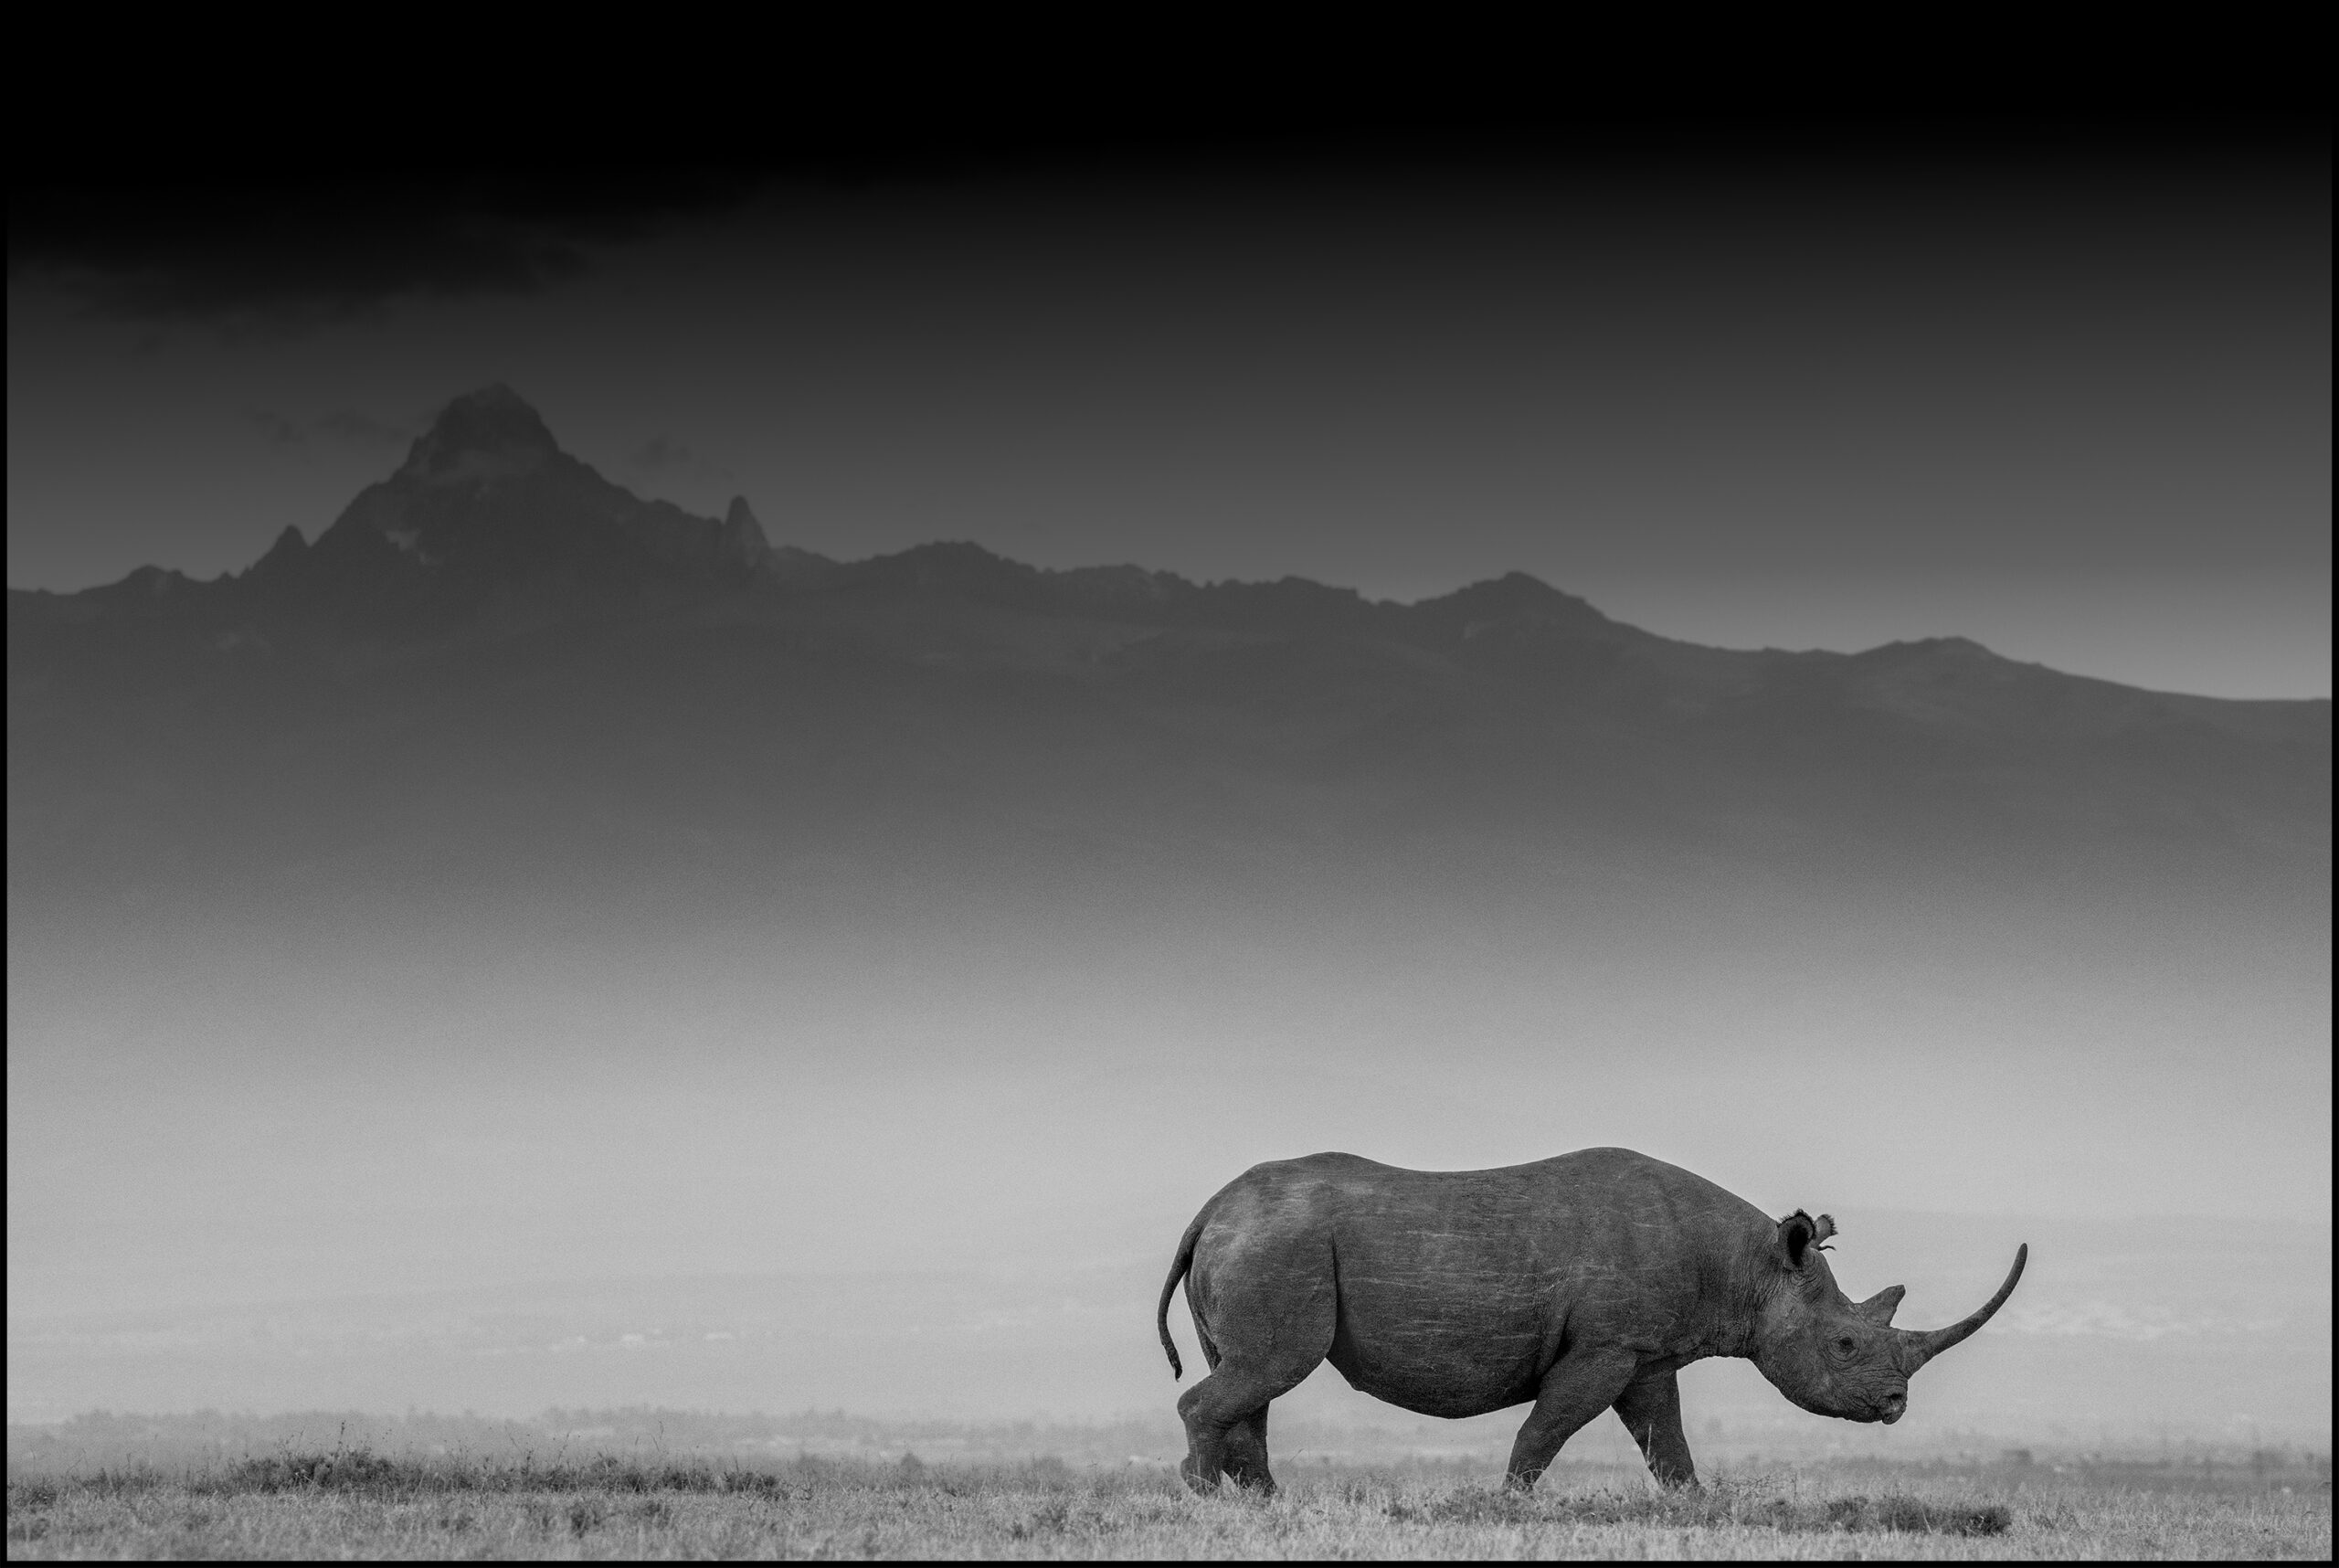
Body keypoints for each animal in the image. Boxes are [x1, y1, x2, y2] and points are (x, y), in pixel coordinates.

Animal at [1156, 1147, 2025, 1493]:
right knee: (1268, 1371)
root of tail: (1209, 1210)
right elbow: (1547, 1427)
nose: (1895, 1406)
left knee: (1253, 1378)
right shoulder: (1609, 1345)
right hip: (1280, 1242)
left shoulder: (1647, 1353)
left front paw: (1696, 1507)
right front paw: (1507, 1504)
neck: (1750, 1268)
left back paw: (1265, 1506)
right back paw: (1203, 1503)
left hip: (1267, 1240)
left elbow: (1665, 1440)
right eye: (1844, 1343)